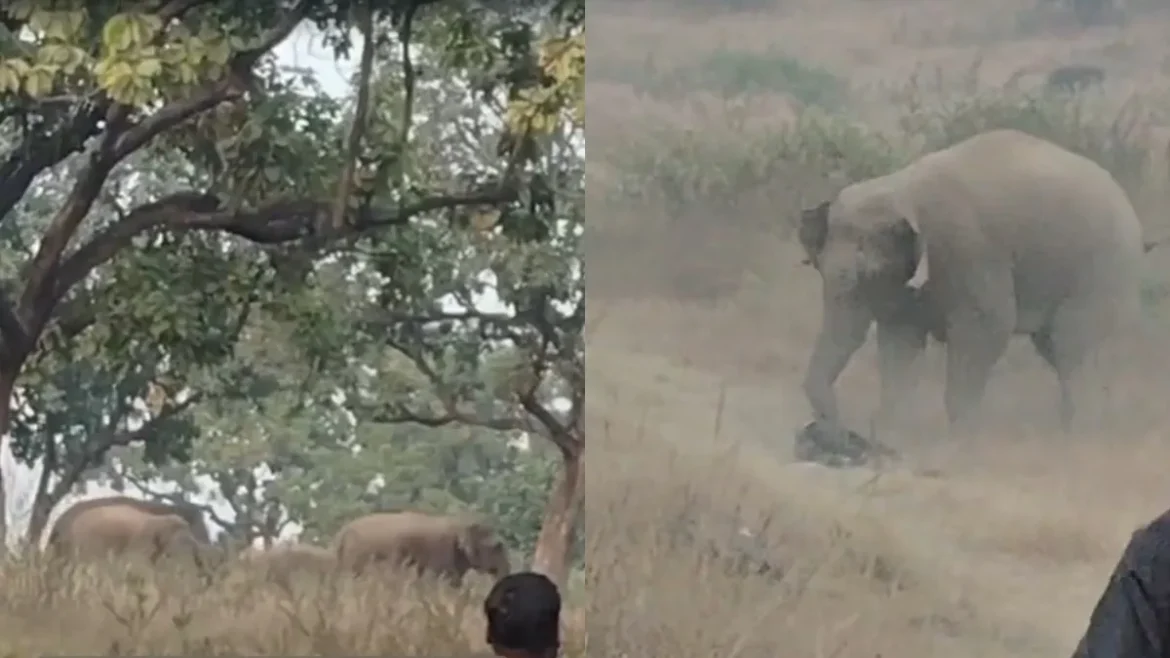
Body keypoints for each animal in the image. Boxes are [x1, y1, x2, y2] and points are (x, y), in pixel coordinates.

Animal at [798, 128, 1144, 434]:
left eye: (868, 273)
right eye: (819, 268)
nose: (834, 427)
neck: (901, 187)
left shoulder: (968, 251)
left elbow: (986, 329)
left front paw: (959, 441)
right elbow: (900, 342)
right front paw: (888, 431)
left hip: (1101, 270)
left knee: (1070, 344)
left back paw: (1079, 435)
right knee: (1056, 348)